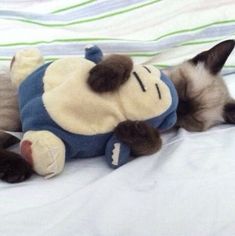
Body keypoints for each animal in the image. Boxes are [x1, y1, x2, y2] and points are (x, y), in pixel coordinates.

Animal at [0, 39, 234, 183]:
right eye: (183, 87)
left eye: (192, 121)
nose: (180, 108)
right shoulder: (127, 62)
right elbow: (124, 60)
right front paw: (101, 79)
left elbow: (154, 143)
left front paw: (131, 130)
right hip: (12, 115)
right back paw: (16, 168)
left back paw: (14, 168)